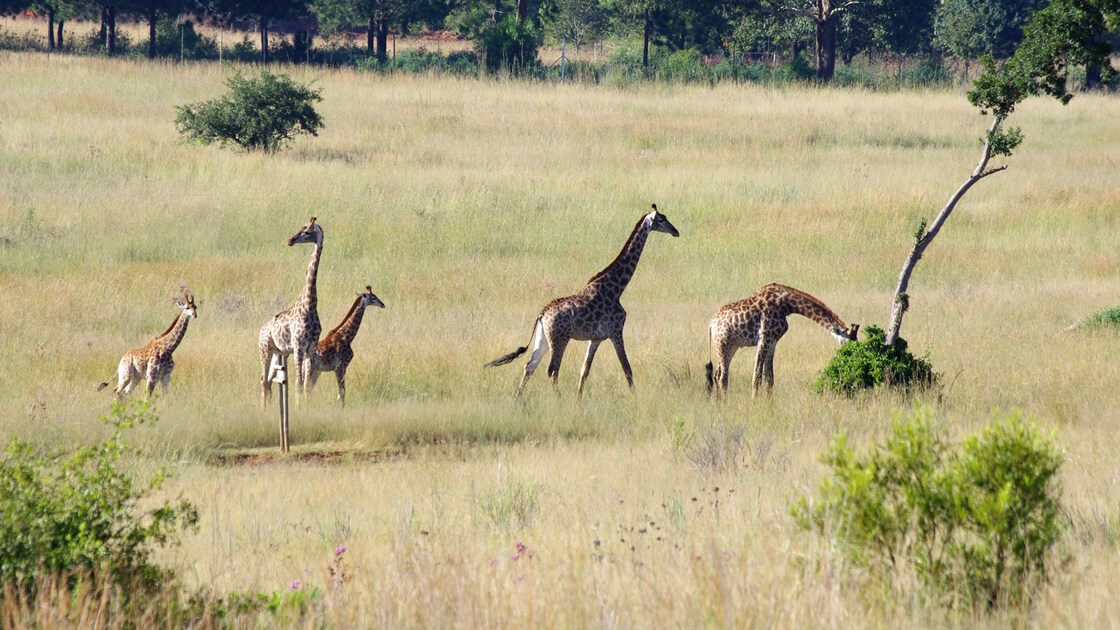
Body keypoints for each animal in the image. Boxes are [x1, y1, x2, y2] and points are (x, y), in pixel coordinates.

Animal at [256, 215, 322, 401]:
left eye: (307, 232)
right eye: (301, 228)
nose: (290, 241)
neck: (310, 305)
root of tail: (261, 330)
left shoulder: (310, 348)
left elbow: (305, 385)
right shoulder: (298, 345)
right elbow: (298, 384)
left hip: (279, 352)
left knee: (267, 380)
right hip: (265, 350)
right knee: (263, 380)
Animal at [483, 204, 676, 394]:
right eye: (661, 219)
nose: (676, 231)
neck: (617, 289)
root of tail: (542, 314)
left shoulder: (596, 338)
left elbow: (584, 371)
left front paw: (579, 399)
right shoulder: (616, 331)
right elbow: (627, 368)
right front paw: (635, 397)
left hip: (543, 338)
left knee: (530, 366)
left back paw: (518, 398)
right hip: (560, 338)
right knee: (552, 370)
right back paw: (559, 399)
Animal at [703, 283, 860, 396]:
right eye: (847, 343)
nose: (850, 357)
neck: (786, 305)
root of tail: (711, 324)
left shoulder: (773, 342)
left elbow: (769, 379)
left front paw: (769, 406)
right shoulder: (764, 339)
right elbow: (757, 377)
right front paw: (755, 406)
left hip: (731, 347)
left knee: (717, 374)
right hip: (723, 344)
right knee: (722, 377)